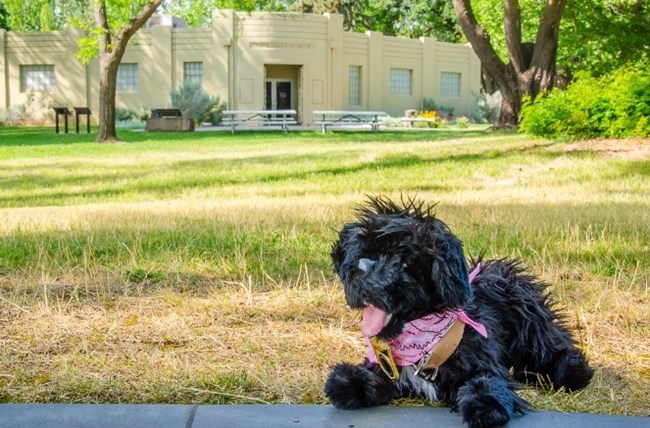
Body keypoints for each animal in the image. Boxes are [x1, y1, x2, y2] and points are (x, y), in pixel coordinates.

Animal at [324, 197, 592, 428]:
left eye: (404, 261)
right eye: (362, 252)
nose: (360, 272)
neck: (423, 343)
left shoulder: (483, 360)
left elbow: (486, 382)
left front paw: (486, 405)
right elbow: (358, 379)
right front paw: (350, 382)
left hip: (528, 315)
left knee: (552, 344)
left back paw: (572, 369)